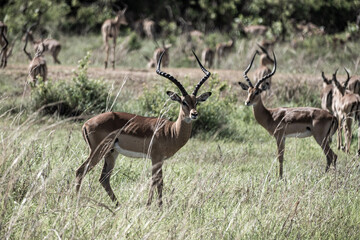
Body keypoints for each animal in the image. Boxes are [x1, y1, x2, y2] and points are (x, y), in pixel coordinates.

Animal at [76, 51, 211, 206]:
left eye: (196, 102)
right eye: (183, 102)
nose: (194, 114)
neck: (171, 131)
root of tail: (87, 123)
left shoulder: (160, 160)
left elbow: (158, 182)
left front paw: (157, 205)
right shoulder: (156, 158)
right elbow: (156, 181)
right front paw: (152, 206)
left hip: (111, 153)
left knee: (104, 178)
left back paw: (118, 205)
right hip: (98, 151)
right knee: (80, 171)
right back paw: (76, 201)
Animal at [239, 50, 338, 178]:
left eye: (257, 92)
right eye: (248, 91)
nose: (247, 102)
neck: (270, 115)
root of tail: (332, 116)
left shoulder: (279, 137)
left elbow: (280, 157)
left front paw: (279, 178)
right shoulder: (284, 138)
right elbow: (282, 156)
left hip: (320, 138)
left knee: (332, 156)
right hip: (324, 139)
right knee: (330, 157)